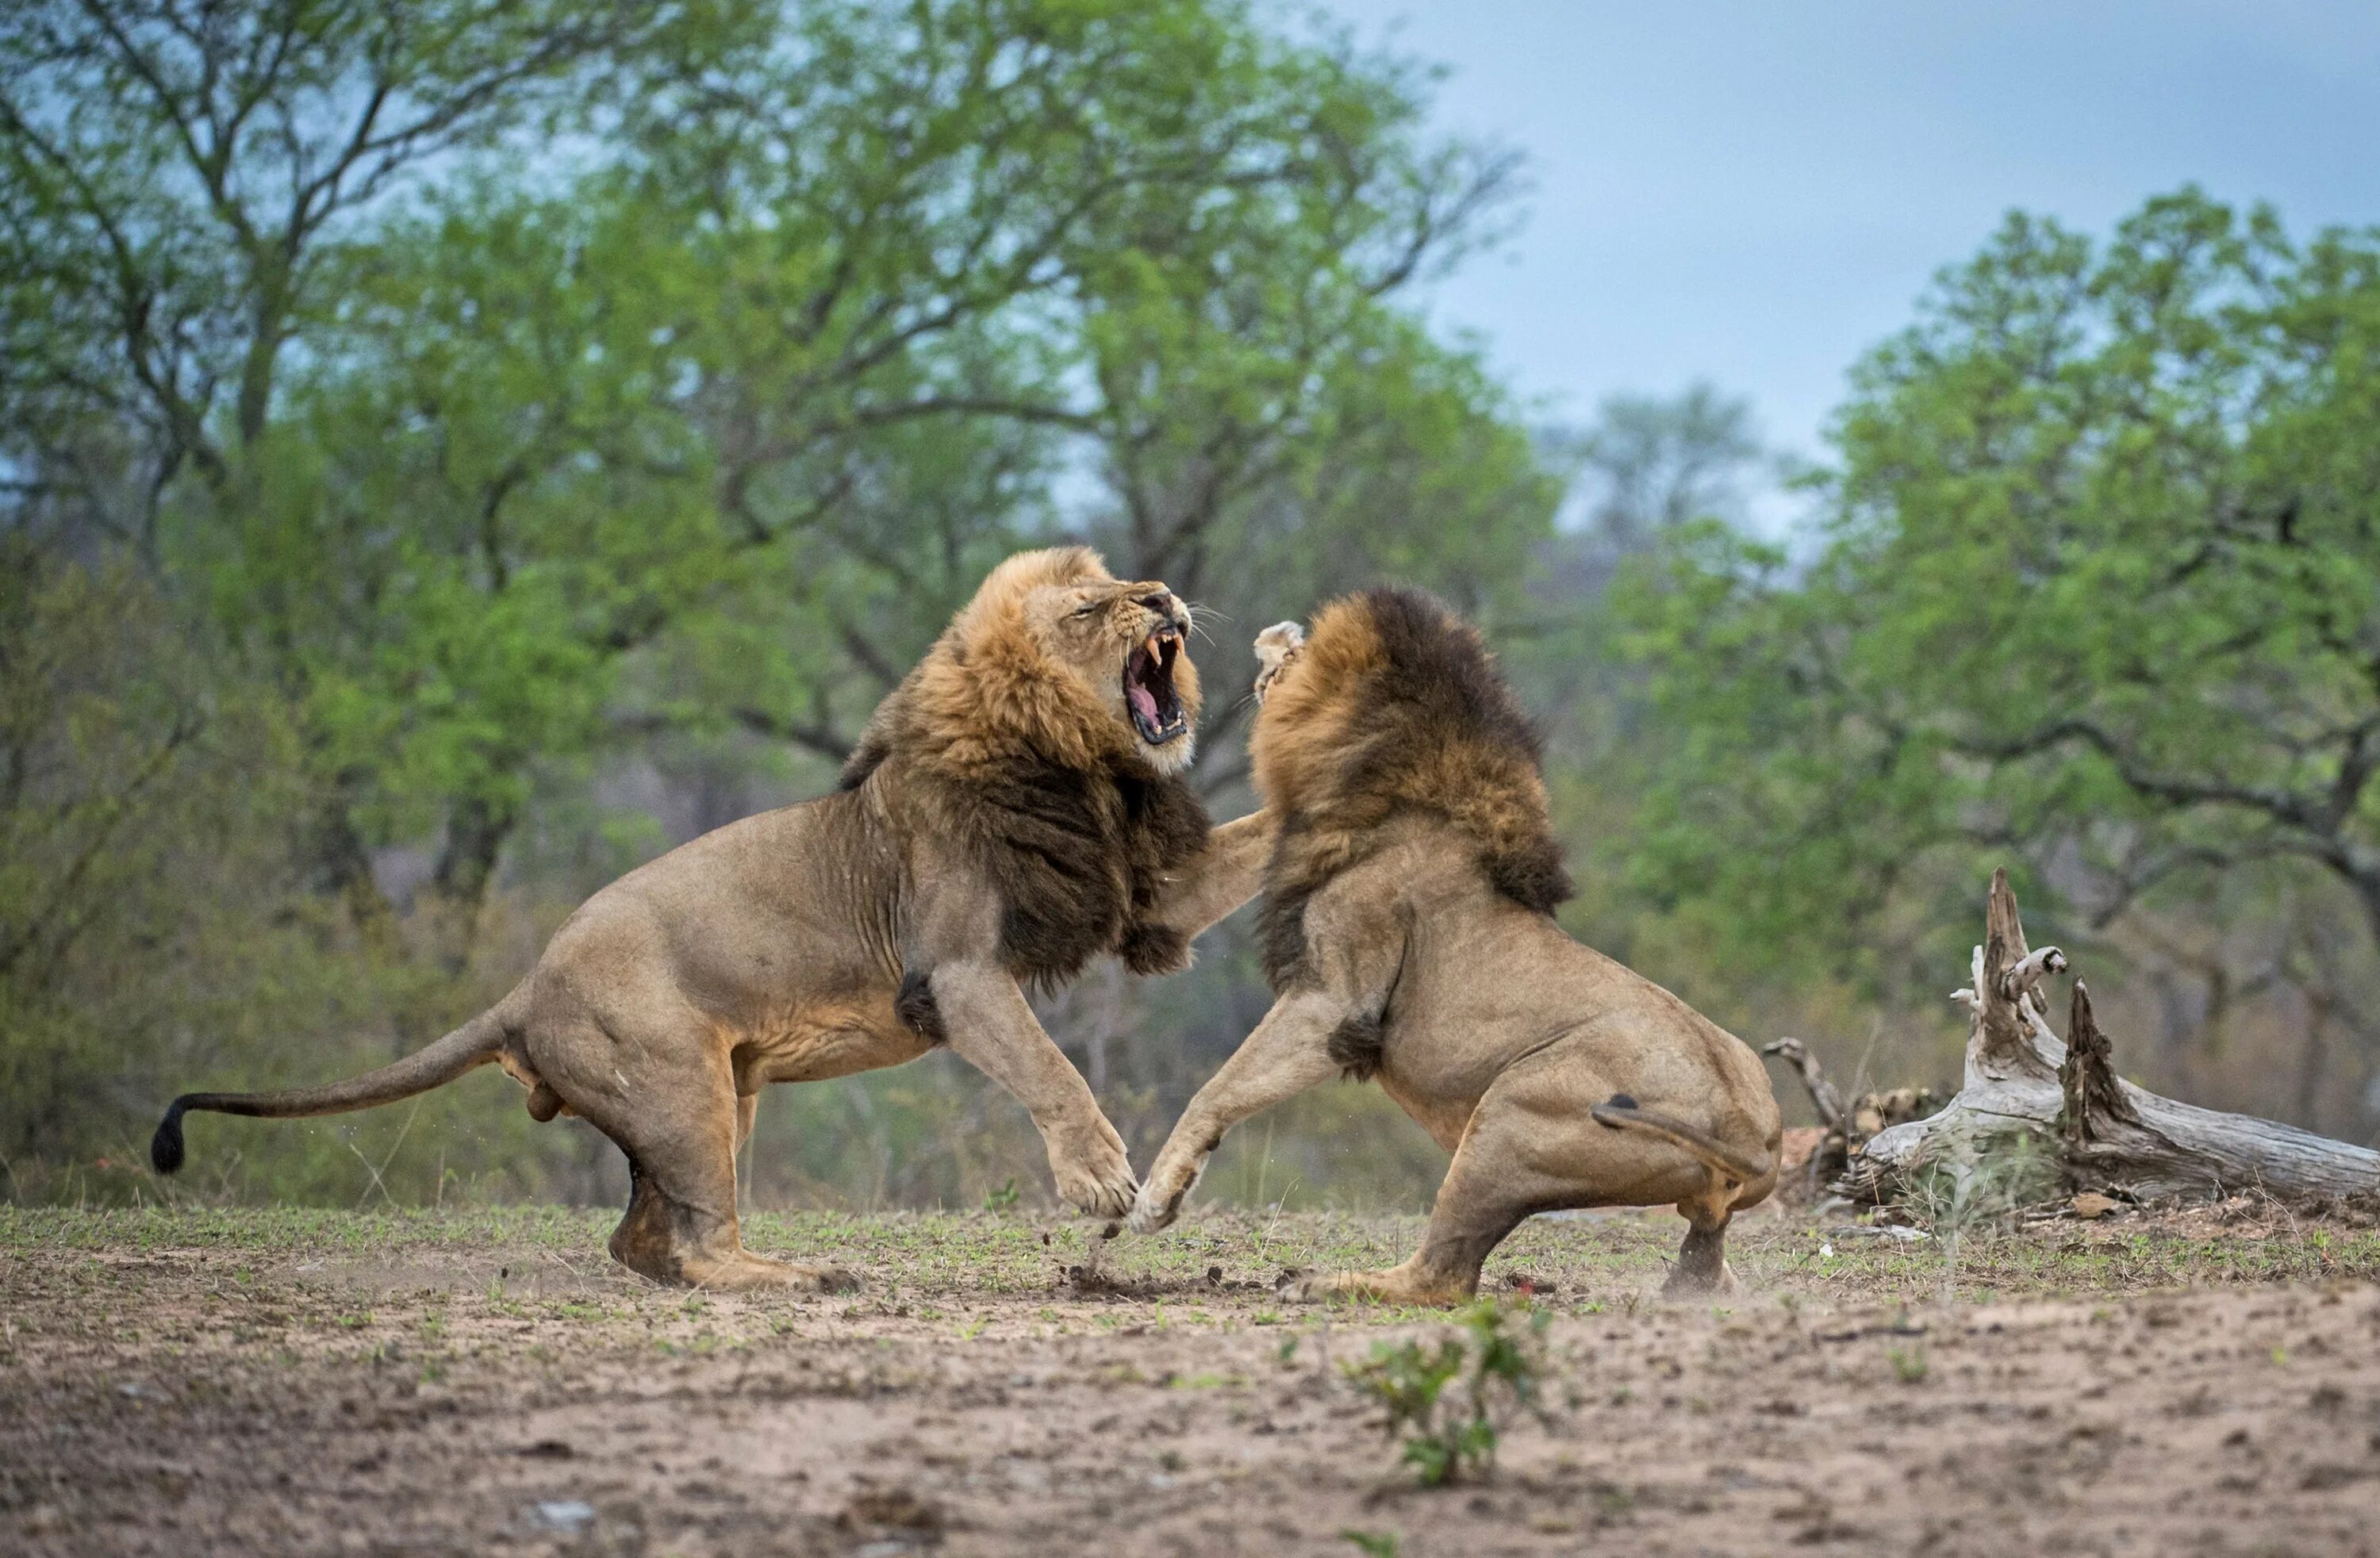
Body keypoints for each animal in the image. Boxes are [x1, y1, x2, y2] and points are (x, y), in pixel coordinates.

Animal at [151, 549, 1276, 1294]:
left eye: (1138, 581)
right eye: (1094, 604)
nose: (1164, 597)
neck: (1090, 774)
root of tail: (524, 985)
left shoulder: (1142, 888)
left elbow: (1263, 838)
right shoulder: (956, 970)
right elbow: (1052, 1068)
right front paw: (1102, 1180)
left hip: (718, 1095)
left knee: (644, 1244)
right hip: (682, 1086)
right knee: (695, 1246)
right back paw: (802, 1275)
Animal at [1133, 592, 1790, 1294]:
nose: (1267, 656)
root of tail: (1753, 1132)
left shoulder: (1334, 1001)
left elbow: (1219, 1088)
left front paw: (1156, 1200)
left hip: (1512, 1112)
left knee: (1441, 1278)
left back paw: (1325, 1282)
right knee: (1706, 1273)